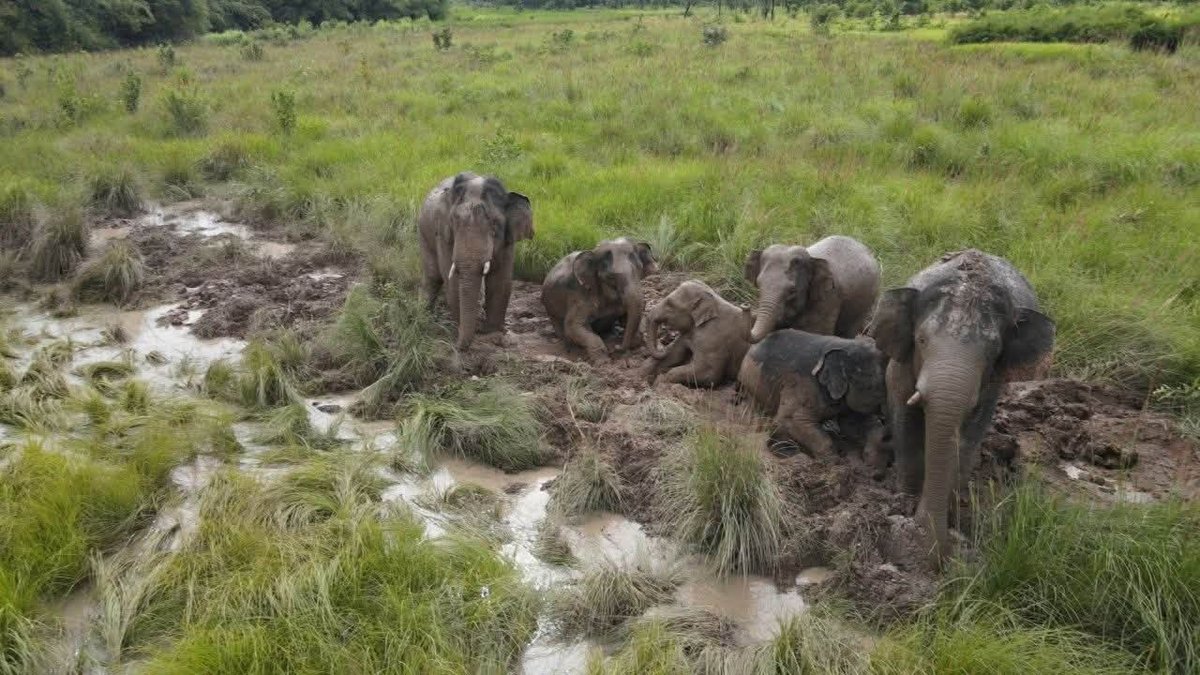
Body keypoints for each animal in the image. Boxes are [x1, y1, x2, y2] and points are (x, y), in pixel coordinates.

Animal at [418, 172, 533, 350]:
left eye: (495, 225)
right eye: (454, 223)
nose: (456, 346)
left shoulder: (508, 241)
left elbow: (500, 281)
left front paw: (491, 332)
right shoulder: (444, 236)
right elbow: (453, 281)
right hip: (424, 233)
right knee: (433, 276)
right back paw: (423, 313)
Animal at [738, 330, 888, 470]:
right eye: (876, 387)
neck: (845, 345)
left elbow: (853, 424)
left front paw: (875, 465)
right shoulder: (803, 384)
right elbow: (791, 420)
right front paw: (835, 464)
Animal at [744, 236, 881, 343]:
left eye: (792, 291)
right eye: (758, 285)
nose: (745, 306)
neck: (811, 258)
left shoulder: (829, 299)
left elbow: (816, 333)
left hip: (865, 303)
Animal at [868, 249, 1055, 567]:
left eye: (994, 351)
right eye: (921, 340)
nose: (932, 549)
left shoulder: (992, 381)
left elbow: (970, 433)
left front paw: (950, 509)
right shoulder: (902, 362)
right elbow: (903, 411)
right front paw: (904, 499)